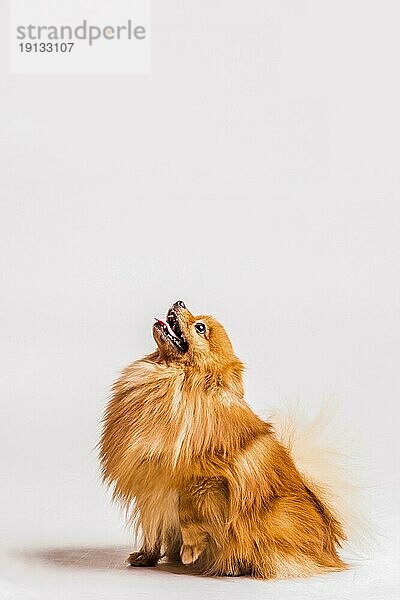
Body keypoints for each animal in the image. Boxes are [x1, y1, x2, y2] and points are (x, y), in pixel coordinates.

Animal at [101, 302, 350, 580]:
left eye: (200, 327)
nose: (179, 301)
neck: (175, 381)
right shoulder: (150, 485)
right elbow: (153, 527)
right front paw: (146, 556)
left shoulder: (202, 480)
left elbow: (188, 514)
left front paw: (190, 551)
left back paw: (234, 567)